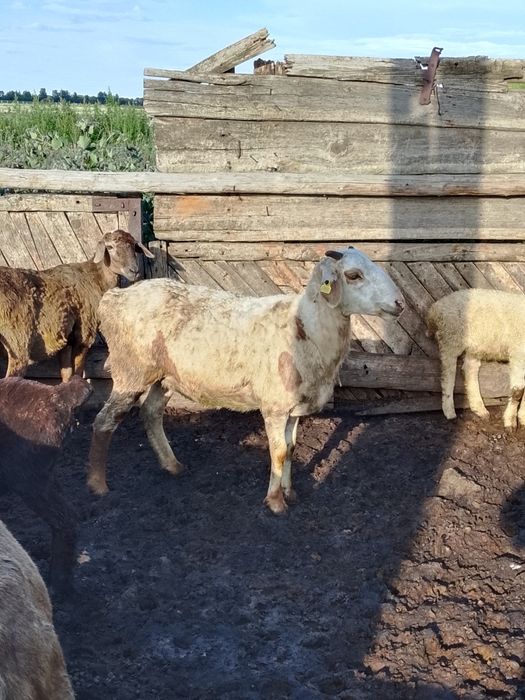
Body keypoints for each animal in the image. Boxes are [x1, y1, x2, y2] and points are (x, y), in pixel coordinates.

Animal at [0, 228, 154, 381]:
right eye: (110, 247)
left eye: (134, 246)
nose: (134, 271)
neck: (96, 278)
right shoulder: (84, 331)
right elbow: (78, 371)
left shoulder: (66, 339)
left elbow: (66, 374)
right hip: (17, 340)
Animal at [87, 247, 404, 514]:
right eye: (353, 275)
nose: (399, 303)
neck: (304, 325)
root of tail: (113, 299)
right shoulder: (275, 406)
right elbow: (278, 453)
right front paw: (275, 502)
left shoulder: (294, 407)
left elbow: (291, 449)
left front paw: (290, 493)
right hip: (131, 370)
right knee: (104, 421)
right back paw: (98, 485)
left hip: (164, 377)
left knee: (151, 413)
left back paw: (172, 465)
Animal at [427, 288, 525, 430]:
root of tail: (435, 308)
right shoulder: (518, 354)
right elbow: (518, 391)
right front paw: (510, 421)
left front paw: (523, 417)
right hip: (451, 338)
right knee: (448, 374)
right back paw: (449, 411)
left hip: (475, 346)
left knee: (469, 369)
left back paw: (479, 408)